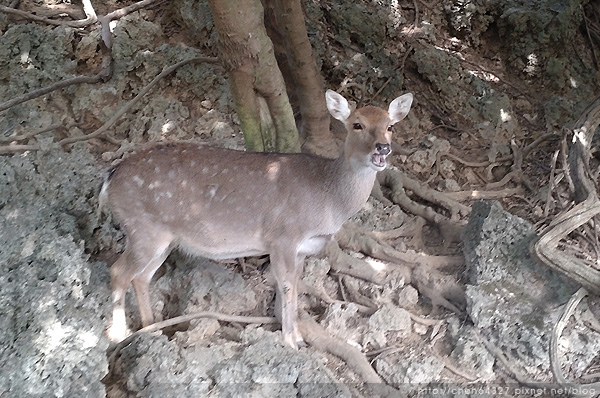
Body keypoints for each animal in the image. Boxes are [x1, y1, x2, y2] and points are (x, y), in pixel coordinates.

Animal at [103, 90, 412, 348]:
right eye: (357, 124)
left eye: (390, 126)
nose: (382, 148)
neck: (328, 200)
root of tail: (109, 180)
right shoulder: (283, 236)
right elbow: (286, 285)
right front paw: (290, 341)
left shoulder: (304, 248)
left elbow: (295, 286)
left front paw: (298, 335)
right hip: (143, 228)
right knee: (118, 271)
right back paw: (118, 335)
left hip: (163, 239)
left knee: (141, 277)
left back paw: (151, 326)